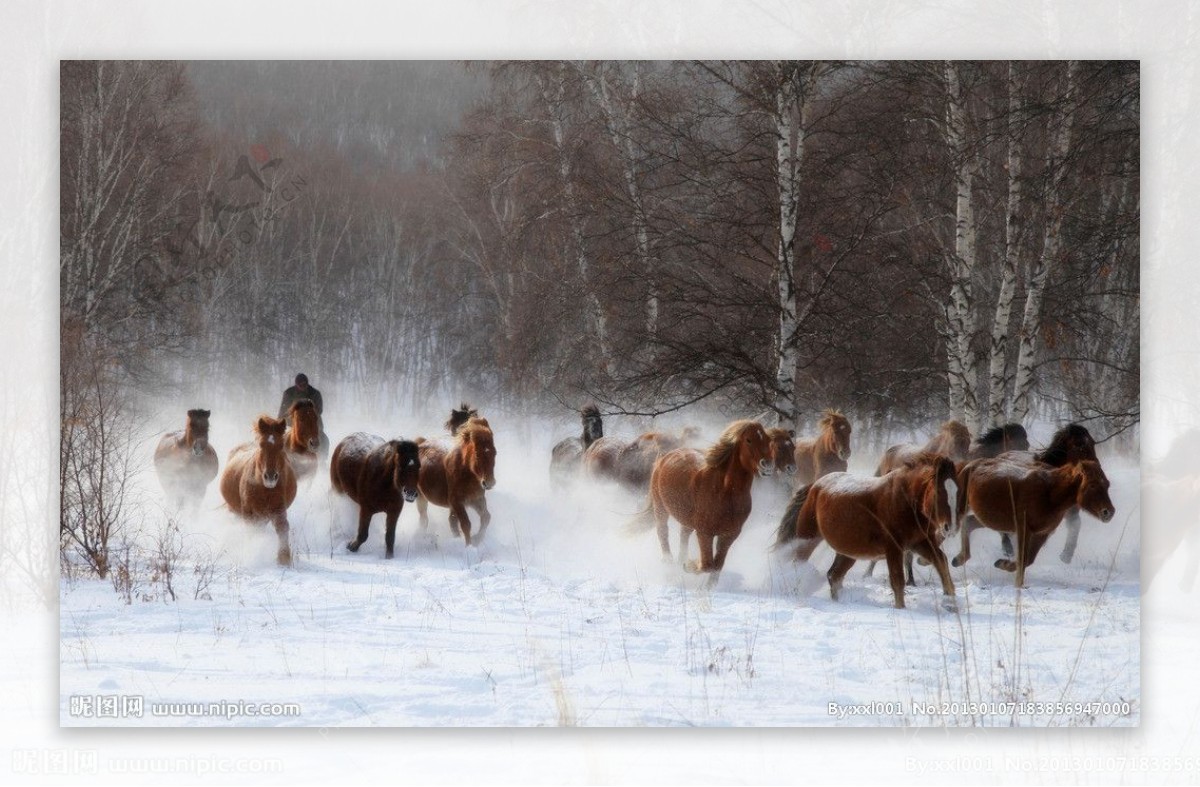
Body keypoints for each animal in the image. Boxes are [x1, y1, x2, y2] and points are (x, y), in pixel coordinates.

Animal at [218, 415, 297, 568]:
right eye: (261, 445)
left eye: (281, 445)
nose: (270, 477)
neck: (264, 488)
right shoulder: (248, 511)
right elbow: (251, 531)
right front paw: (251, 555)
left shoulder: (278, 508)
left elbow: (283, 527)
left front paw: (284, 558)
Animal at [417, 417, 496, 547]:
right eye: (477, 454)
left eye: (495, 452)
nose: (489, 483)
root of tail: (420, 443)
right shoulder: (457, 502)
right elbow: (466, 524)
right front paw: (469, 546)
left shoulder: (476, 499)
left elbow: (486, 517)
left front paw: (476, 539)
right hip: (420, 497)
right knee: (424, 520)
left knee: (451, 521)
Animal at [624, 422, 772, 587]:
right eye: (748, 440)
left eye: (768, 440)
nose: (766, 465)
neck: (725, 492)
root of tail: (665, 457)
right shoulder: (704, 533)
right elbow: (707, 564)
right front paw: (689, 566)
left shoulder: (729, 535)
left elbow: (717, 565)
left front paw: (706, 587)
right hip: (660, 507)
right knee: (662, 532)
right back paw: (669, 565)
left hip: (686, 518)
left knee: (683, 535)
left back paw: (680, 562)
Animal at [772, 451, 960, 611]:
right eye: (938, 493)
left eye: (957, 492)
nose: (949, 528)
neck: (903, 500)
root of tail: (814, 486)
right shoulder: (893, 548)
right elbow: (898, 580)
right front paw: (901, 609)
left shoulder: (920, 543)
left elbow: (941, 561)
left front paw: (950, 602)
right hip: (807, 540)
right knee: (800, 564)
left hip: (848, 552)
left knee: (834, 576)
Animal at [950, 455, 1118, 583]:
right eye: (1092, 485)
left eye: (1107, 484)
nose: (1108, 512)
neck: (1049, 494)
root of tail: (967, 465)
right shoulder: (1023, 529)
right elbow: (1023, 558)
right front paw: (1017, 582)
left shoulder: (1042, 533)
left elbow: (1027, 560)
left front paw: (1002, 563)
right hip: (960, 511)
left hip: (988, 519)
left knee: (968, 523)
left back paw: (959, 559)